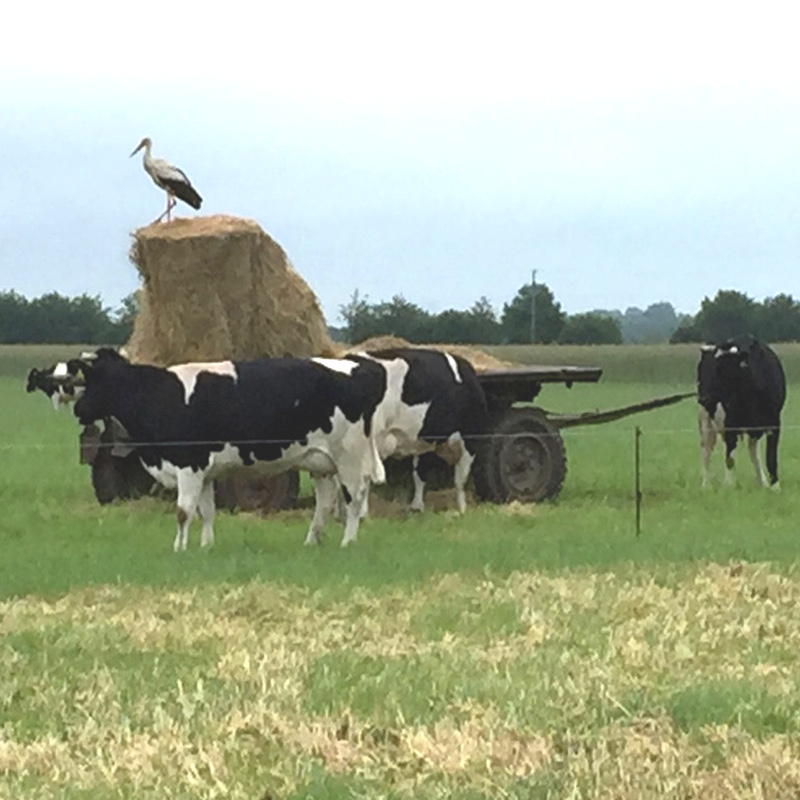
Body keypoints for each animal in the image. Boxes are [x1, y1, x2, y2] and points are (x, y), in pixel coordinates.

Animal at [70, 350, 390, 552]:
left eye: (94, 381)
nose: (78, 408)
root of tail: (363, 366)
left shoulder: (189, 464)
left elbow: (183, 512)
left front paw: (179, 548)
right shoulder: (205, 471)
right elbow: (206, 511)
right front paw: (205, 546)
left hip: (349, 457)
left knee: (354, 498)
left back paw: (347, 542)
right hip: (320, 462)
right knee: (324, 502)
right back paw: (311, 542)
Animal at [354, 348, 488, 512]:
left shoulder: (425, 439)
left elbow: (420, 474)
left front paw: (417, 507)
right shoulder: (470, 439)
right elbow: (459, 478)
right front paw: (461, 509)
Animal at [696, 336, 784, 488]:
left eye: (722, 369)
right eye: (702, 371)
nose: (703, 398)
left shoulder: (774, 422)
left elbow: (771, 457)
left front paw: (775, 486)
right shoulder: (730, 424)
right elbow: (730, 458)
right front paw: (729, 486)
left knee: (754, 453)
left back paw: (762, 482)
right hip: (706, 421)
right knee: (706, 451)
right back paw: (706, 485)